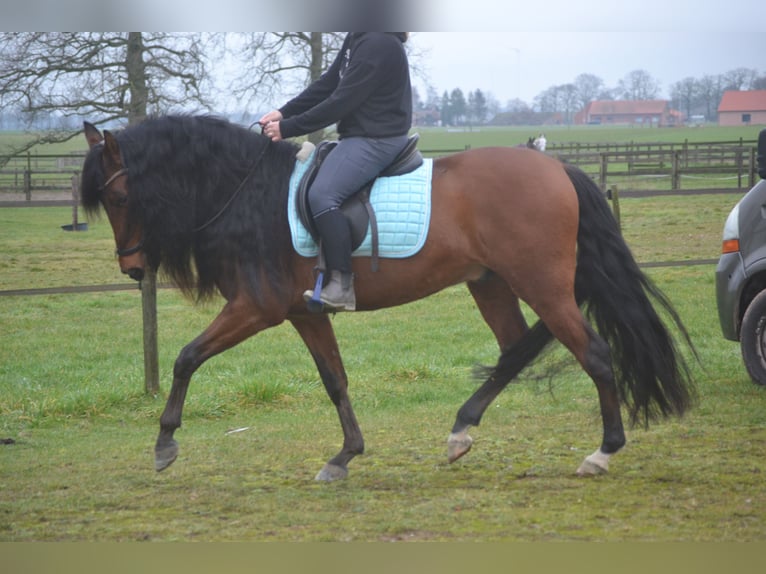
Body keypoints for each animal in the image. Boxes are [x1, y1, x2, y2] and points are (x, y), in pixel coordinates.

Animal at [81, 115, 696, 481]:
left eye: (118, 197)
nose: (133, 268)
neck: (248, 194)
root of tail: (556, 167)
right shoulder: (304, 312)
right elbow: (334, 380)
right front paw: (344, 455)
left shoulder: (256, 308)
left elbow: (186, 357)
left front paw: (164, 443)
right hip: (492, 283)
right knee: (517, 348)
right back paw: (460, 430)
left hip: (540, 284)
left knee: (593, 353)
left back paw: (603, 451)